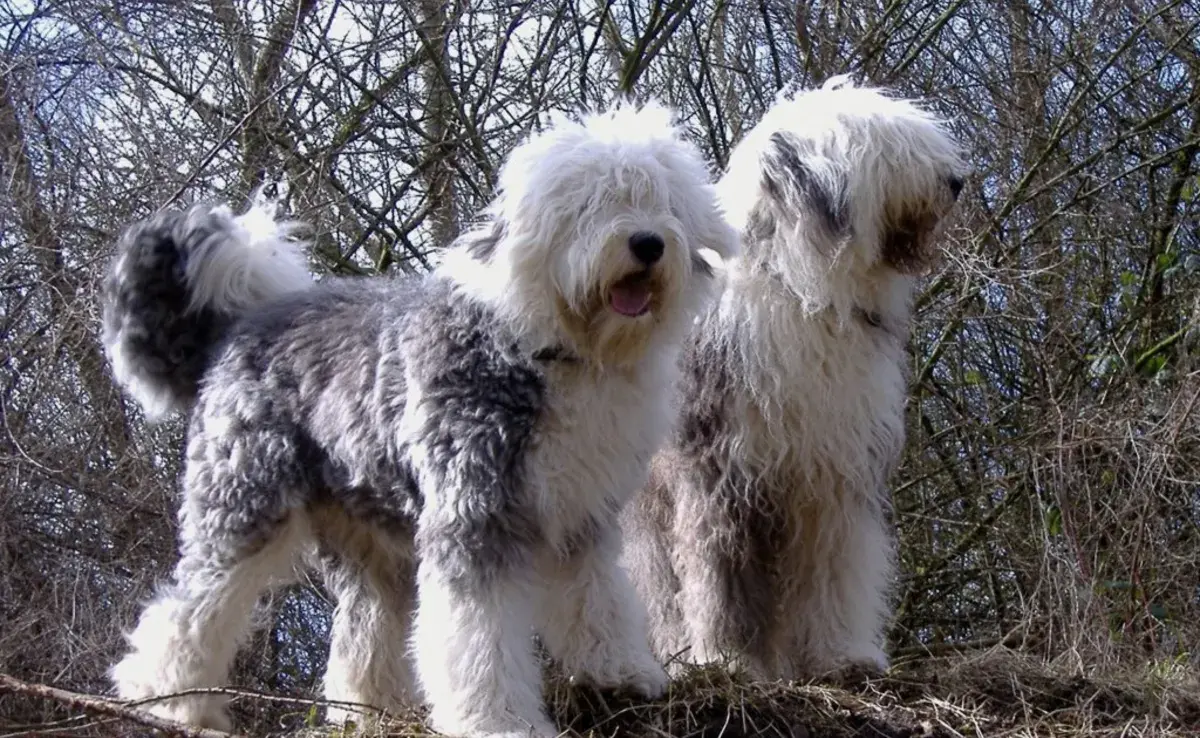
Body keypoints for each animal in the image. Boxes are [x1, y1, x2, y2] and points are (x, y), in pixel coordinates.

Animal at [105, 102, 739, 738]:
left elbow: (597, 598)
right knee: (191, 607)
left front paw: (620, 672)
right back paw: (167, 701)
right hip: (243, 501)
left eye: (661, 201)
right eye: (592, 204)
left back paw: (371, 709)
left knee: (363, 628)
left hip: (369, 533)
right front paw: (497, 719)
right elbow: (479, 635)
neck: (551, 345)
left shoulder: (580, 515)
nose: (647, 243)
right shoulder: (474, 513)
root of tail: (235, 331)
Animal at [619, 75, 964, 681]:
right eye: (886, 144)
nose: (957, 182)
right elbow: (721, 581)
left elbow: (836, 572)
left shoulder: (833, 475)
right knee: (660, 585)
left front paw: (843, 655)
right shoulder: (720, 473)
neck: (805, 293)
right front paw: (729, 658)